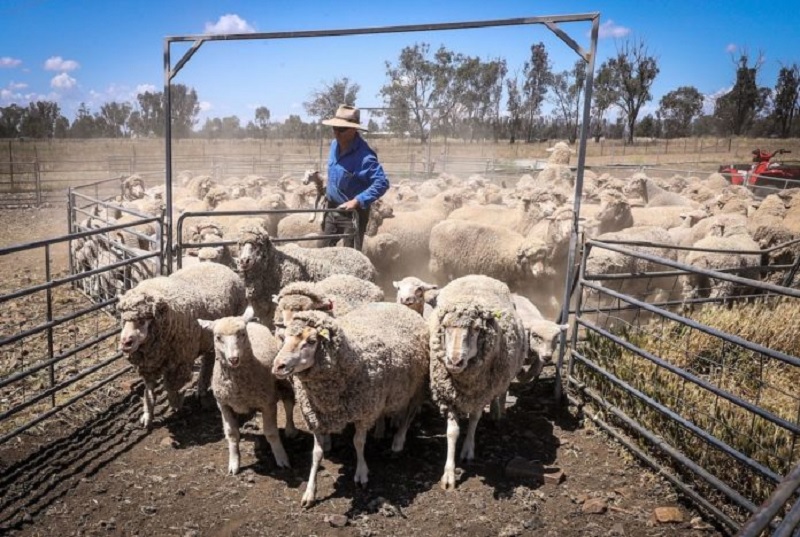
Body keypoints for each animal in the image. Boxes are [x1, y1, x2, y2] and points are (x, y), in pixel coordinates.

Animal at [117, 262, 245, 430]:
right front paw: (147, 416)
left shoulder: (180, 362)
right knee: (209, 358)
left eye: (143, 320)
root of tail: (219, 265)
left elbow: (170, 388)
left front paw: (177, 404)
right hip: (207, 337)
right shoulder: (150, 364)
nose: (125, 342)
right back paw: (202, 388)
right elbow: (149, 391)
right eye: (124, 320)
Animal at [198, 306, 298, 474]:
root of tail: (252, 322)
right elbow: (232, 434)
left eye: (242, 334)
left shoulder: (267, 403)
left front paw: (281, 458)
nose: (233, 359)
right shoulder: (223, 405)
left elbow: (271, 433)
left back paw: (291, 430)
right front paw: (234, 463)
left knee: (289, 403)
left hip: (282, 381)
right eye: (218, 337)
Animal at [272, 304, 432, 504]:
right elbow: (316, 453)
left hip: (416, 386)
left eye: (311, 341)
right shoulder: (316, 416)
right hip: (381, 395)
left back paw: (398, 441)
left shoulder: (363, 413)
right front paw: (309, 492)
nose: (278, 366)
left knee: (408, 415)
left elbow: (358, 442)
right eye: (284, 338)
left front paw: (361, 473)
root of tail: (395, 304)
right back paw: (380, 430)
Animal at [428, 276, 528, 490]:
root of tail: (481, 275)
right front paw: (449, 475)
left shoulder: (480, 396)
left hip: (504, 373)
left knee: (501, 392)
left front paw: (468, 450)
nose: (454, 361)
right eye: (445, 327)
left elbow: (474, 420)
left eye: (475, 329)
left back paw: (499, 413)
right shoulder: (449, 397)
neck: (465, 383)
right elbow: (452, 432)